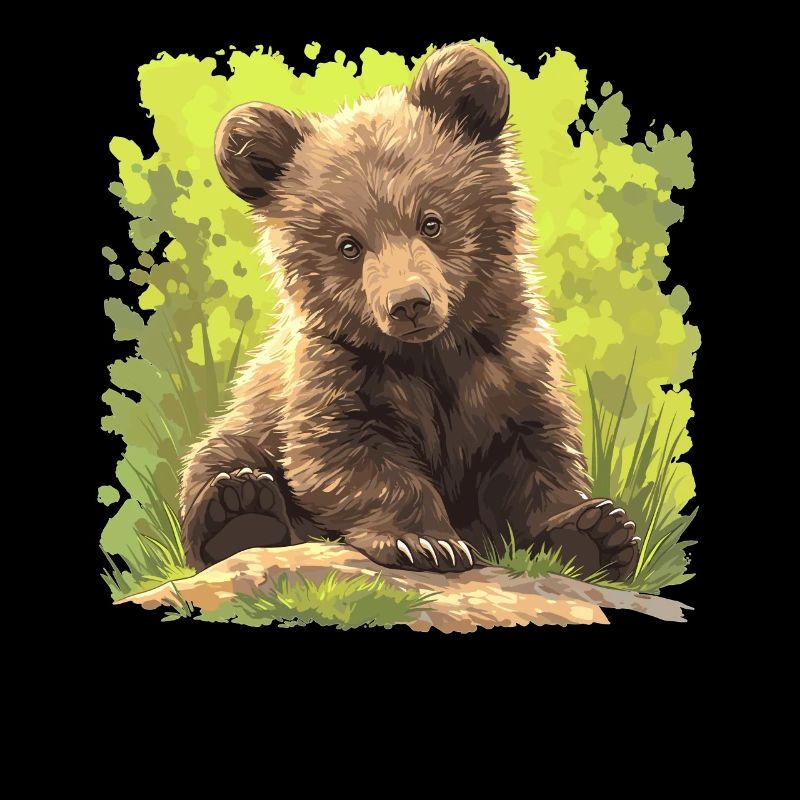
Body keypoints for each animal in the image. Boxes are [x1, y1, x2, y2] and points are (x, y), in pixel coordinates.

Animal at [179, 43, 641, 582]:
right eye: (349, 245)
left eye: (431, 221)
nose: (409, 303)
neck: (432, 353)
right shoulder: (340, 372)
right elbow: (348, 457)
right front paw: (427, 542)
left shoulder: (510, 366)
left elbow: (537, 455)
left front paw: (597, 532)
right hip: (246, 423)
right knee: (215, 460)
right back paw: (239, 506)